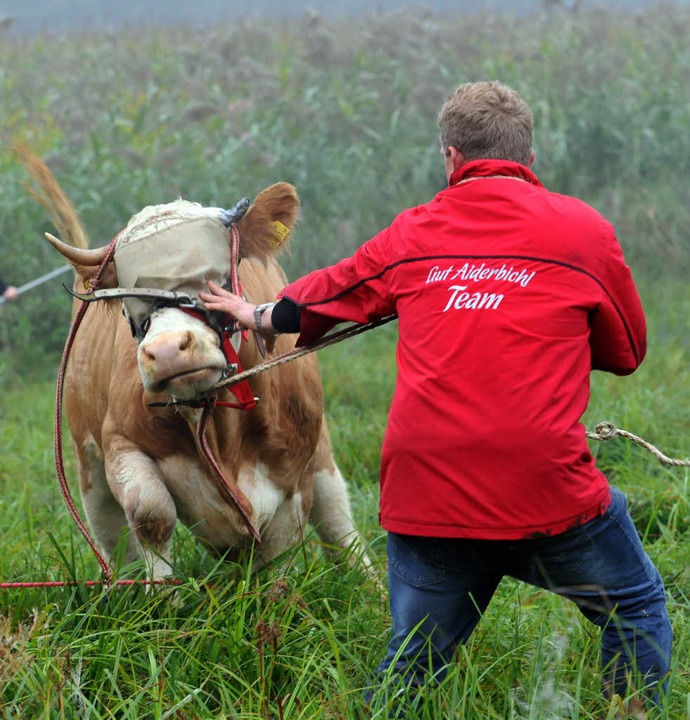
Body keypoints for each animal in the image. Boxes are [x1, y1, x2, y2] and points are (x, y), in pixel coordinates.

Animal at [21, 153, 368, 584]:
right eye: (129, 302)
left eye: (211, 279)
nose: (168, 350)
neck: (219, 426)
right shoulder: (121, 441)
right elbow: (150, 514)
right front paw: (163, 595)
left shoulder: (294, 475)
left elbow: (281, 553)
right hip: (88, 462)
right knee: (115, 540)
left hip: (320, 454)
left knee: (338, 520)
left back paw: (370, 583)